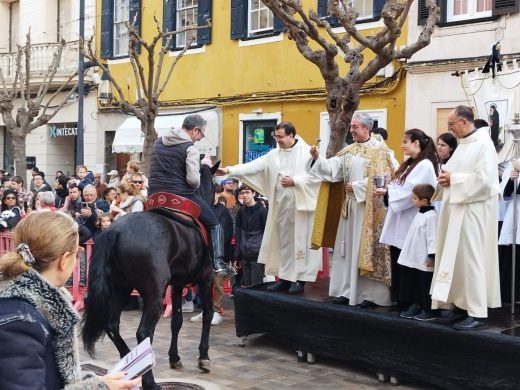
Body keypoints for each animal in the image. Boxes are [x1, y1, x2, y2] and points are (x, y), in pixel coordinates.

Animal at [80, 163, 217, 388]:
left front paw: (174, 357)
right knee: (143, 333)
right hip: (153, 294)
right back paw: (148, 379)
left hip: (120, 288)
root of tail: (114, 232)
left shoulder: (177, 284)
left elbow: (177, 320)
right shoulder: (207, 278)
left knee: (112, 326)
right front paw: (203, 357)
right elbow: (207, 314)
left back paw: (130, 369)